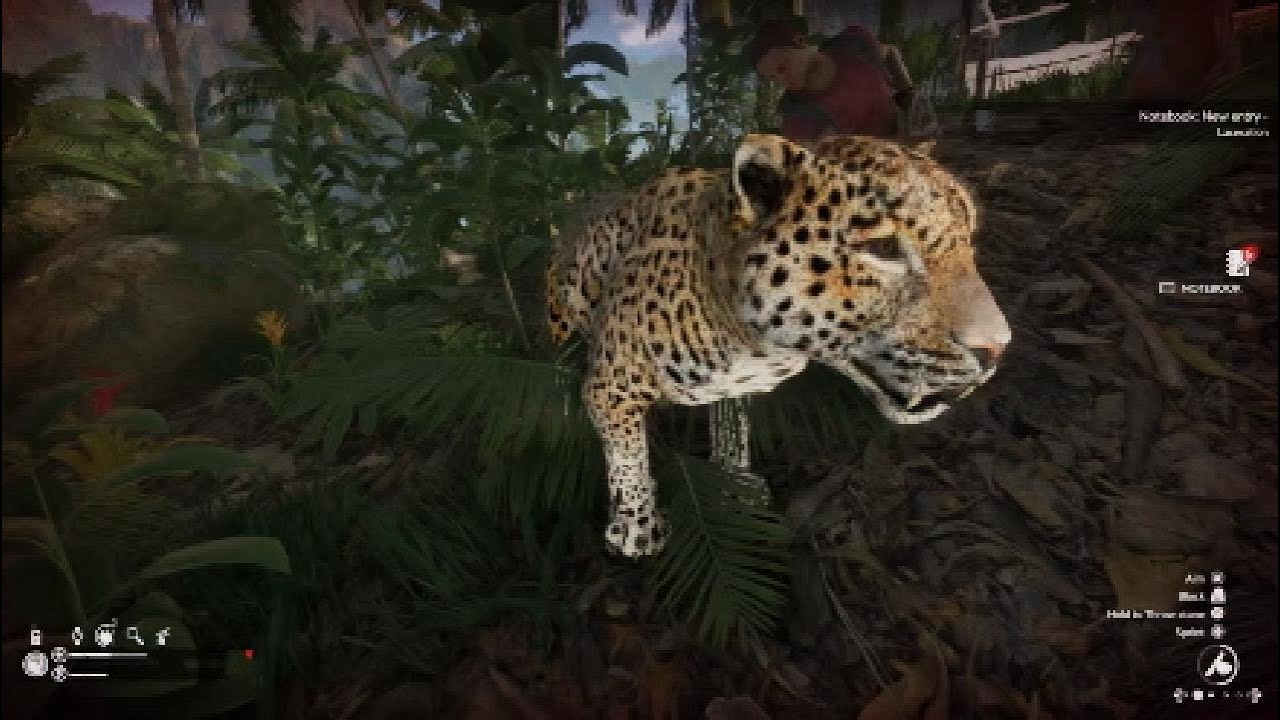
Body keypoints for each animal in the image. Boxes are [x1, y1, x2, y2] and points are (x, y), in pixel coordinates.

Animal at [546, 133, 1011, 558]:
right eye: (881, 247)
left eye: (968, 240)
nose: (997, 349)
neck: (755, 345)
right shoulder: (611, 384)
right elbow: (626, 453)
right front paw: (636, 525)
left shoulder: (737, 386)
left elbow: (732, 426)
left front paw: (733, 485)